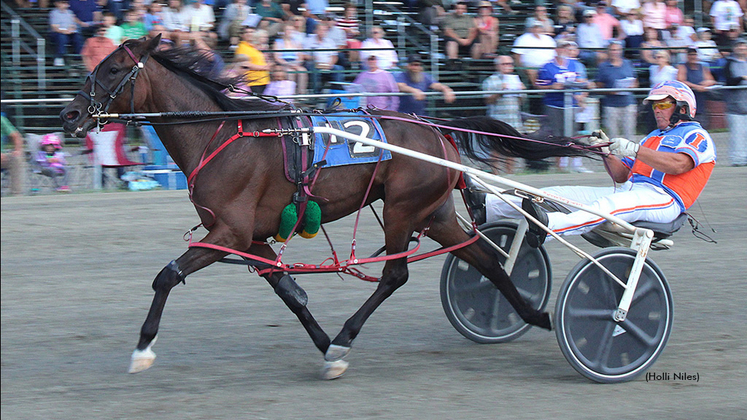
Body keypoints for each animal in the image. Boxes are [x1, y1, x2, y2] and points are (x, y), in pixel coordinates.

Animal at [61, 35, 592, 378]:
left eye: (112, 70)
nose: (69, 113)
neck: (221, 133)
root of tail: (435, 129)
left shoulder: (228, 232)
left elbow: (166, 276)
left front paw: (142, 348)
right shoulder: (251, 236)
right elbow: (290, 293)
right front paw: (324, 349)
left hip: (403, 210)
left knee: (396, 275)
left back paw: (348, 333)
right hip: (434, 212)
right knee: (483, 257)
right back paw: (532, 314)